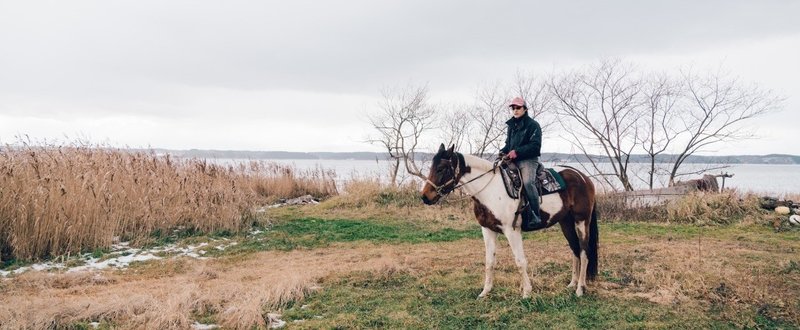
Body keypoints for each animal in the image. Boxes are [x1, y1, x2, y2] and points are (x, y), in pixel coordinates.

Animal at [422, 144, 596, 300]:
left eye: (441, 168)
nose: (425, 197)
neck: (490, 190)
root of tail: (583, 177)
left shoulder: (511, 231)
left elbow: (520, 261)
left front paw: (526, 292)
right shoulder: (488, 230)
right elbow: (489, 261)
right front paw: (485, 291)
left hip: (581, 220)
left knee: (584, 251)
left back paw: (580, 289)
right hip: (565, 222)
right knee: (575, 249)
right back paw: (572, 284)